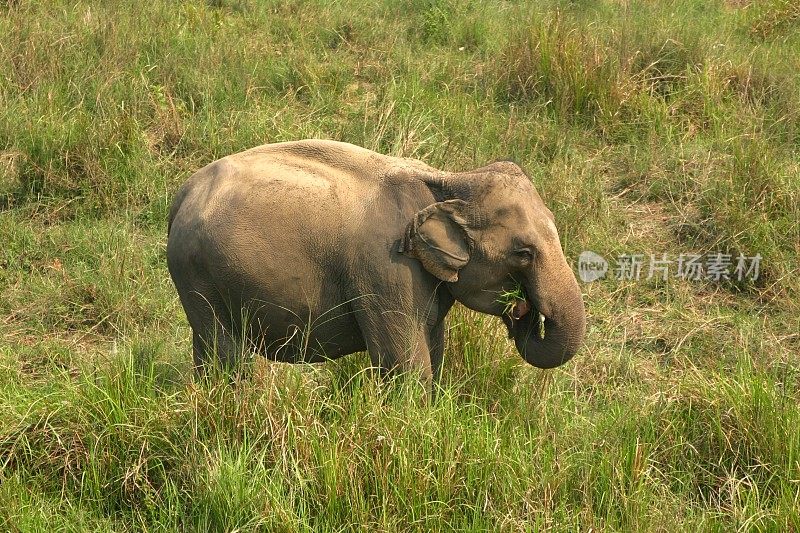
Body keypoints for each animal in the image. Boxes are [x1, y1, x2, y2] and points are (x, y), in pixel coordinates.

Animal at [166, 139, 584, 384]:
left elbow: (433, 353)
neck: (449, 179)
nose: (522, 309)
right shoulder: (387, 272)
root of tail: (183, 193)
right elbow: (407, 370)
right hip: (200, 275)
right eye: (523, 253)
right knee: (225, 357)